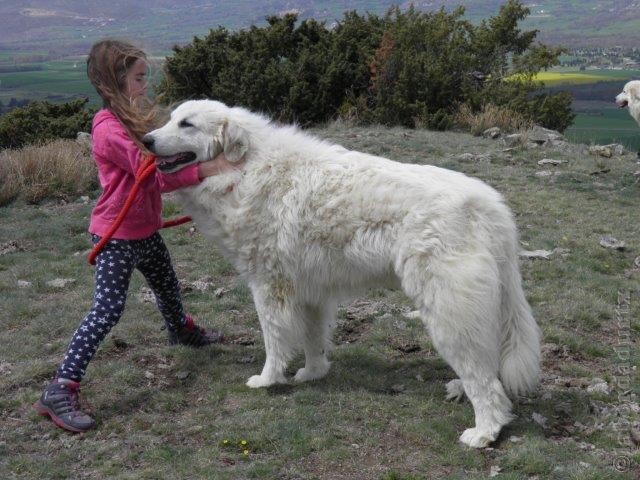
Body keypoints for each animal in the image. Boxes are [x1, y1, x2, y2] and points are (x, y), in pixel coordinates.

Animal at [144, 99, 540, 448]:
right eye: (171, 118)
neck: (243, 168)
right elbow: (312, 338)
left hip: (449, 310)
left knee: (484, 380)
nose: (145, 141)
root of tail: (489, 205)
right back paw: (461, 393)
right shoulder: (309, 292)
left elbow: (274, 341)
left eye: (187, 124)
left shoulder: (268, 287)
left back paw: (485, 432)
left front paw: (268, 379)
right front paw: (312, 373)